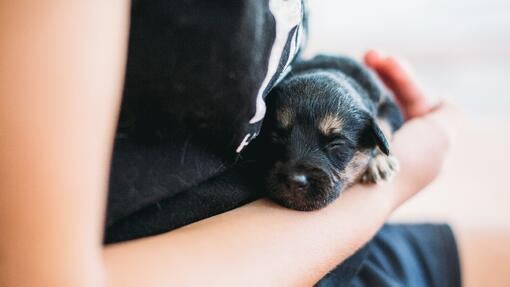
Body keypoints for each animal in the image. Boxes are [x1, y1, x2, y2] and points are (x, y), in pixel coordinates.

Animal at [260, 54, 404, 212]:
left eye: (336, 144)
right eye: (276, 136)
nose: (294, 181)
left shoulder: (388, 104)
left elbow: (383, 123)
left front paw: (379, 160)